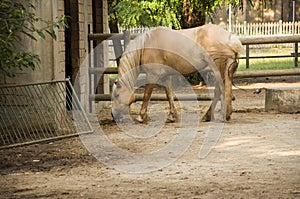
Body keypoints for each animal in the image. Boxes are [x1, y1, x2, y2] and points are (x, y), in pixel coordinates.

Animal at [111, 23, 243, 123]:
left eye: (116, 95)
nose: (113, 115)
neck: (145, 46)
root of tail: (230, 37)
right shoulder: (165, 76)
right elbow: (169, 95)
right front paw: (171, 116)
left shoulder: (152, 75)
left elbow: (147, 95)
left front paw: (140, 116)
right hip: (226, 70)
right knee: (225, 89)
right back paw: (214, 115)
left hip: (217, 68)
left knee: (221, 89)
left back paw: (222, 115)